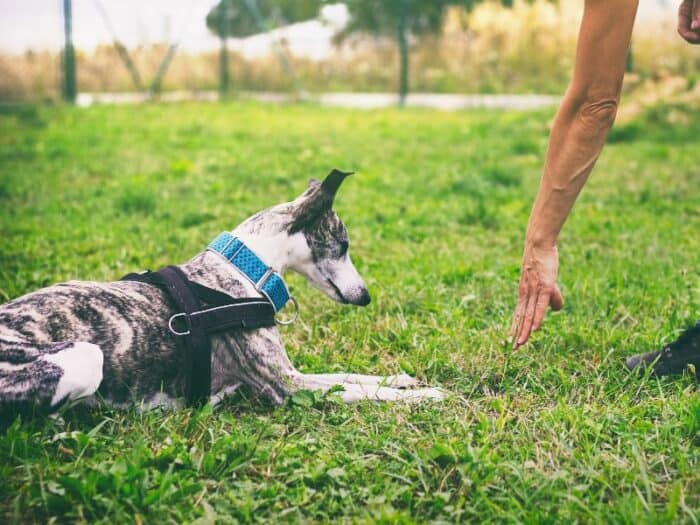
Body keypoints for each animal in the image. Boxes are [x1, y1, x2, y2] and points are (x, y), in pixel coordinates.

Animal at [0, 169, 442, 422]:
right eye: (344, 244)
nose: (365, 296)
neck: (242, 268)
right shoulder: (287, 386)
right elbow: (362, 391)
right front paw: (427, 397)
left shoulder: (294, 373)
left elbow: (350, 376)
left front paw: (403, 380)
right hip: (83, 358)